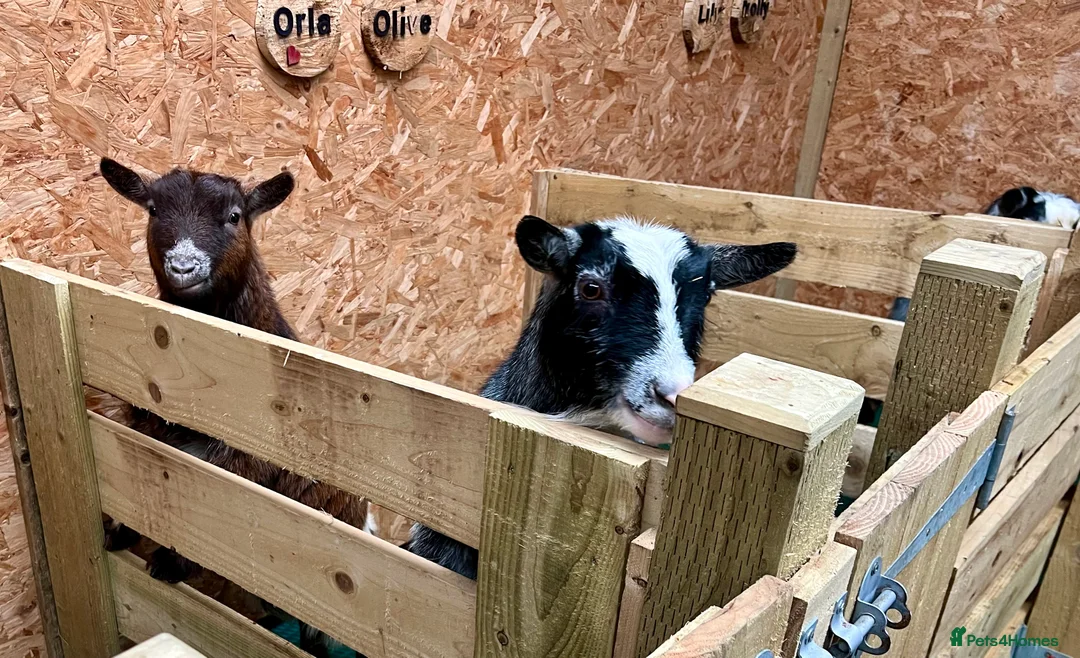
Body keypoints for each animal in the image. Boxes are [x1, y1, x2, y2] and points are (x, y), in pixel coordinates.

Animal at [99, 158, 364, 657]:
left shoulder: (247, 457)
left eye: (235, 216)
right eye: (153, 209)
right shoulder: (148, 428)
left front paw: (170, 563)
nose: (184, 267)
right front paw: (119, 531)